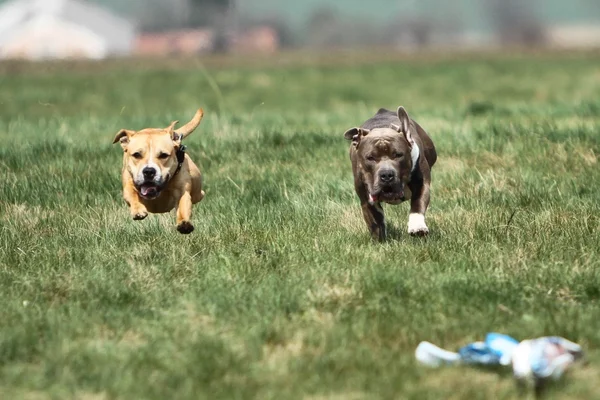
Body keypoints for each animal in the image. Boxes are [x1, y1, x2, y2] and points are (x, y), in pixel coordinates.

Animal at [344, 106, 438, 242]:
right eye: (370, 157)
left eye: (398, 155)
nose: (387, 174)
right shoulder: (367, 200)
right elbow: (376, 222)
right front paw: (380, 241)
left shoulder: (422, 184)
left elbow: (418, 203)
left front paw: (417, 226)